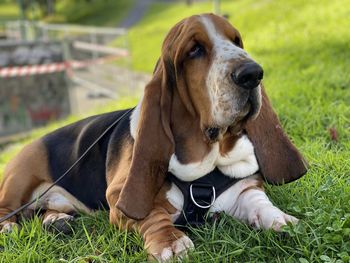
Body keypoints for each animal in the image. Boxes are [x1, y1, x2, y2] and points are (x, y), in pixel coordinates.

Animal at [0, 13, 306, 262]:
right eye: (195, 50)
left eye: (237, 41)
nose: (252, 73)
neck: (210, 156)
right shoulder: (119, 197)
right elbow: (152, 214)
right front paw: (170, 242)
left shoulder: (246, 188)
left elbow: (259, 203)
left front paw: (280, 220)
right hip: (19, 181)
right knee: (7, 210)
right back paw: (11, 226)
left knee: (44, 211)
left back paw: (57, 221)